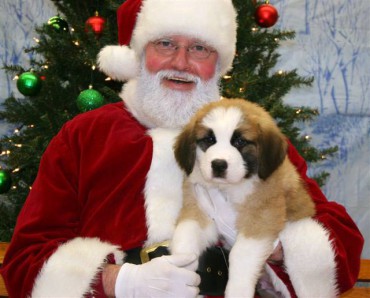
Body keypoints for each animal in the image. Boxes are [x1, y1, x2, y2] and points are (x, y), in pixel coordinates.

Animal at [171, 99, 336, 298]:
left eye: (240, 141)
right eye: (209, 140)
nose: (218, 164)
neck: (230, 188)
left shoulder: (261, 218)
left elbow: (240, 254)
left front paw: (237, 291)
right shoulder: (198, 207)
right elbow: (184, 238)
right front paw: (178, 278)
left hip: (303, 239)